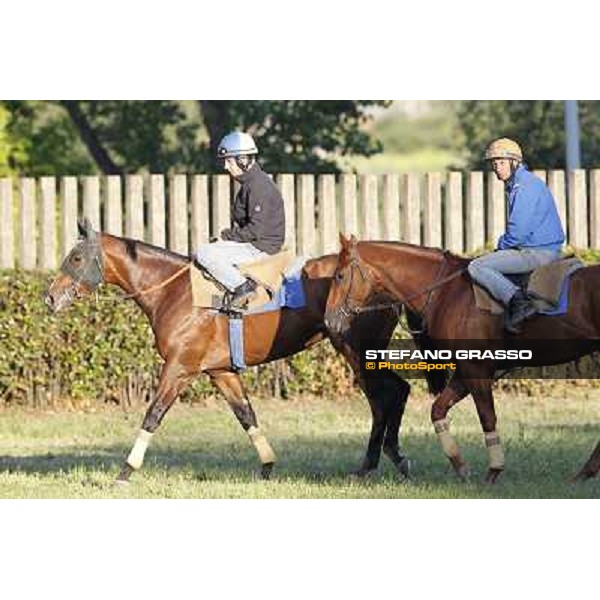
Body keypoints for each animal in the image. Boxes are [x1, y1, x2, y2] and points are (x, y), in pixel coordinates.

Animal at [44, 220, 442, 482]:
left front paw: (127, 469)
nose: (49, 297)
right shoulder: (220, 372)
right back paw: (388, 458)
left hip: (356, 351)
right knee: (390, 396)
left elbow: (153, 414)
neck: (176, 291)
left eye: (76, 258)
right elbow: (246, 414)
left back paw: (377, 461)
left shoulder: (178, 369)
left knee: (389, 395)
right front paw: (267, 465)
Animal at [326, 234, 600, 482]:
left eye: (339, 276)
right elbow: (438, 410)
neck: (447, 292)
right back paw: (584, 473)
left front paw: (493, 471)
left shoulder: (475, 370)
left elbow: (487, 416)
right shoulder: (465, 372)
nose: (329, 321)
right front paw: (461, 466)